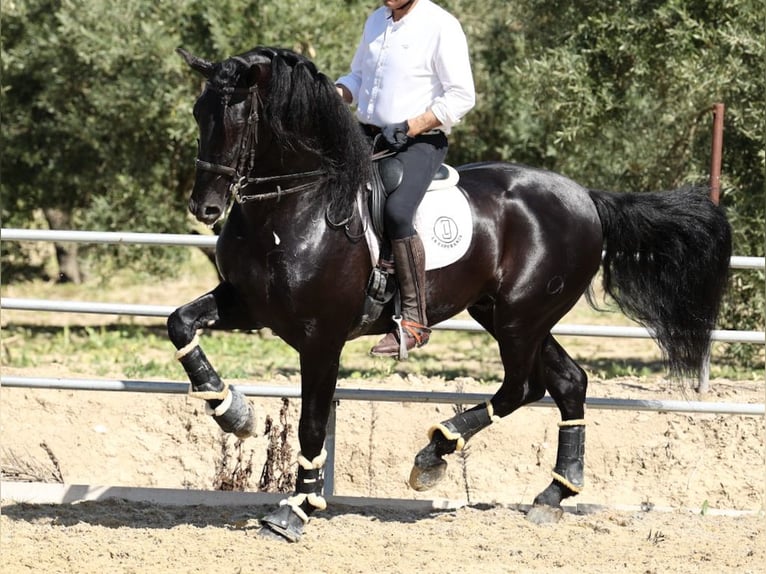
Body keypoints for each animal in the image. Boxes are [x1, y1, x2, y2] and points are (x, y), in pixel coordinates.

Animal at [171, 47, 736, 544]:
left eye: (238, 117)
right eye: (199, 112)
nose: (205, 207)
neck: (295, 206)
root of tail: (587, 198)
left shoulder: (321, 337)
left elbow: (312, 424)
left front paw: (295, 511)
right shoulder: (248, 304)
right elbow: (181, 323)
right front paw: (233, 412)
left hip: (521, 317)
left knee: (523, 387)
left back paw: (435, 453)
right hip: (507, 314)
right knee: (569, 383)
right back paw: (551, 496)